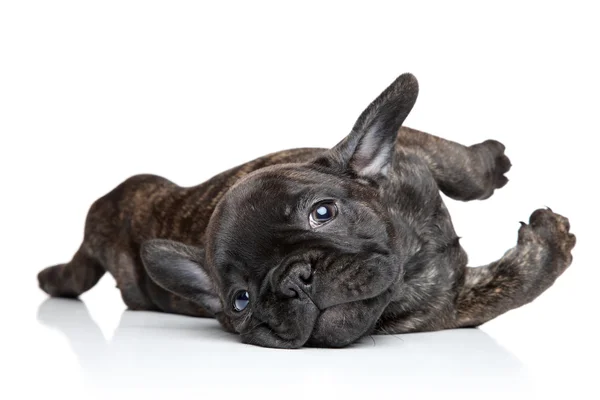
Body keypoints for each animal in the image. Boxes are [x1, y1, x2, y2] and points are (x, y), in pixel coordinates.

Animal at [37, 73, 576, 348]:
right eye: (241, 300)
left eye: (323, 212)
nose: (292, 280)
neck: (411, 245)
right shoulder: (450, 306)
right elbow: (514, 285)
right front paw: (549, 242)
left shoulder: (410, 148)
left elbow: (459, 164)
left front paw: (490, 164)